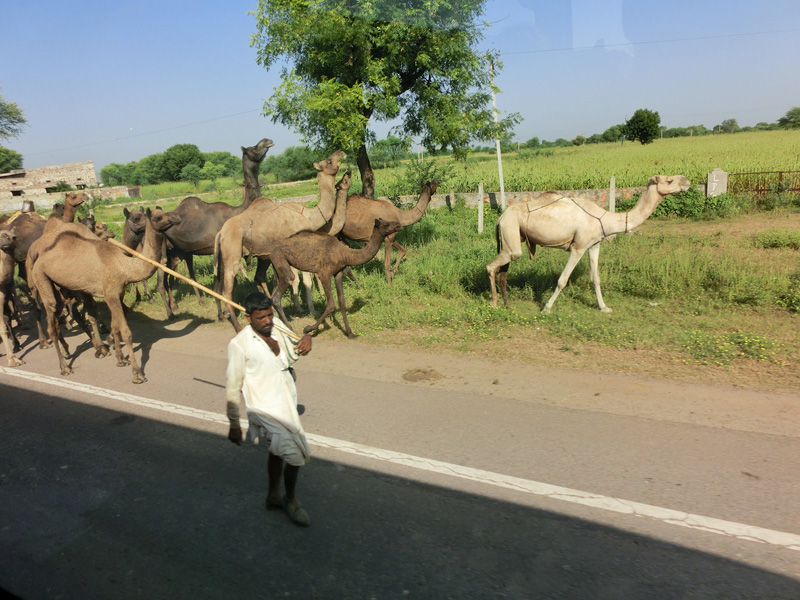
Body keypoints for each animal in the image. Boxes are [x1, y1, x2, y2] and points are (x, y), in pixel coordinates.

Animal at [30, 207, 181, 383]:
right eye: (157, 217)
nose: (176, 217)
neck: (125, 266)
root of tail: (39, 257)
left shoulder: (116, 293)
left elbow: (115, 326)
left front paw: (120, 359)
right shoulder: (111, 294)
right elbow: (126, 332)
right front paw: (137, 373)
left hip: (60, 286)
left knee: (61, 315)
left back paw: (76, 350)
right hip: (40, 276)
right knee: (52, 323)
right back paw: (65, 367)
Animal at [157, 138, 274, 317]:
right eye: (254, 148)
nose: (268, 141)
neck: (239, 210)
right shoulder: (221, 250)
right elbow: (223, 282)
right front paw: (224, 313)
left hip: (178, 251)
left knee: (176, 275)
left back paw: (185, 303)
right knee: (163, 279)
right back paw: (170, 310)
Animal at [213, 150, 345, 331]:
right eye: (329, 161)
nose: (341, 152)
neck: (308, 215)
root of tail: (220, 233)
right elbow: (305, 280)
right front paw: (310, 311)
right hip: (232, 252)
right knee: (228, 289)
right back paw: (238, 326)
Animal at [270, 218, 402, 339]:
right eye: (386, 224)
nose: (398, 225)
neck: (345, 254)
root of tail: (271, 250)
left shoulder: (338, 272)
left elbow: (342, 302)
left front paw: (350, 333)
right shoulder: (324, 273)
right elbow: (331, 305)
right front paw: (308, 329)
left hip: (277, 266)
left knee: (274, 290)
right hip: (279, 257)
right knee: (283, 287)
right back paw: (289, 328)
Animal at [486, 175, 691, 313]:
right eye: (669, 180)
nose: (687, 181)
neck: (606, 218)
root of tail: (500, 218)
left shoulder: (594, 245)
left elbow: (596, 278)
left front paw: (604, 307)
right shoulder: (579, 247)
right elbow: (562, 280)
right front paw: (546, 308)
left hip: (512, 239)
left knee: (503, 272)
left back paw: (508, 305)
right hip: (511, 233)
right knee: (491, 266)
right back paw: (494, 303)